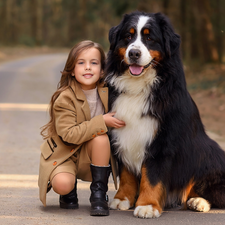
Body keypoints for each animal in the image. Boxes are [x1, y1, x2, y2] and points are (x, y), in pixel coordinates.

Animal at [105, 11, 225, 218]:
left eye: (149, 38)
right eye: (128, 36)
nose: (133, 53)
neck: (139, 87)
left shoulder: (162, 141)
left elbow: (152, 177)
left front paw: (147, 205)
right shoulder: (124, 135)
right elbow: (127, 174)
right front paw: (122, 199)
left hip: (208, 152)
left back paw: (198, 202)